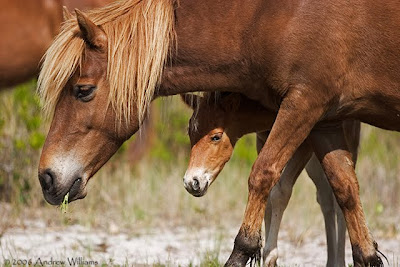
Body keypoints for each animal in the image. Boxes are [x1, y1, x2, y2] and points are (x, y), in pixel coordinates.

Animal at [35, 1, 400, 266]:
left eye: (82, 90)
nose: (47, 177)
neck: (272, 14)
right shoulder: (325, 120)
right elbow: (346, 193)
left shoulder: (303, 104)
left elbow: (263, 176)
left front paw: (244, 249)